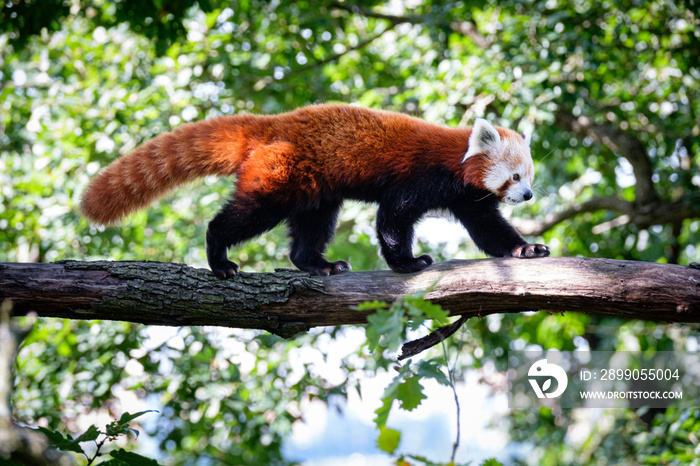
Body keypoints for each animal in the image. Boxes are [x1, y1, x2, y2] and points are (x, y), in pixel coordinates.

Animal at [82, 104, 548, 276]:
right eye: (515, 177)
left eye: (529, 177)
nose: (527, 197)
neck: (455, 162)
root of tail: (272, 123)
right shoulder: (418, 178)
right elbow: (392, 220)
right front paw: (408, 262)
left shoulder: (468, 198)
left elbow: (490, 229)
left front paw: (525, 249)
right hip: (279, 175)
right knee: (245, 215)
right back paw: (219, 258)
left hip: (315, 188)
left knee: (312, 226)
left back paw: (317, 264)